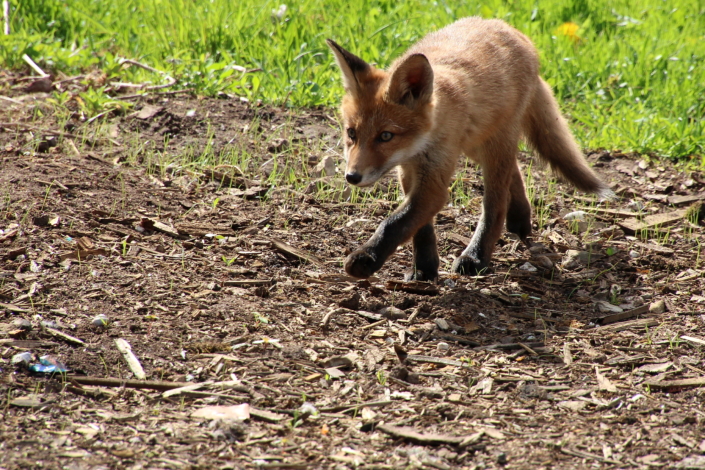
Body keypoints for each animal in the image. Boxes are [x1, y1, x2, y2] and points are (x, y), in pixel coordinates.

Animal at [328, 17, 608, 282]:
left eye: (386, 136)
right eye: (351, 133)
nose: (352, 177)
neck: (420, 144)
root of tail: (510, 29)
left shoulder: (435, 174)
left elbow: (395, 223)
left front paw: (366, 258)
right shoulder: (409, 170)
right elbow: (419, 226)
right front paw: (424, 269)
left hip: (494, 147)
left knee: (496, 203)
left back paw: (476, 256)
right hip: (477, 145)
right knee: (514, 172)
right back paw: (520, 221)